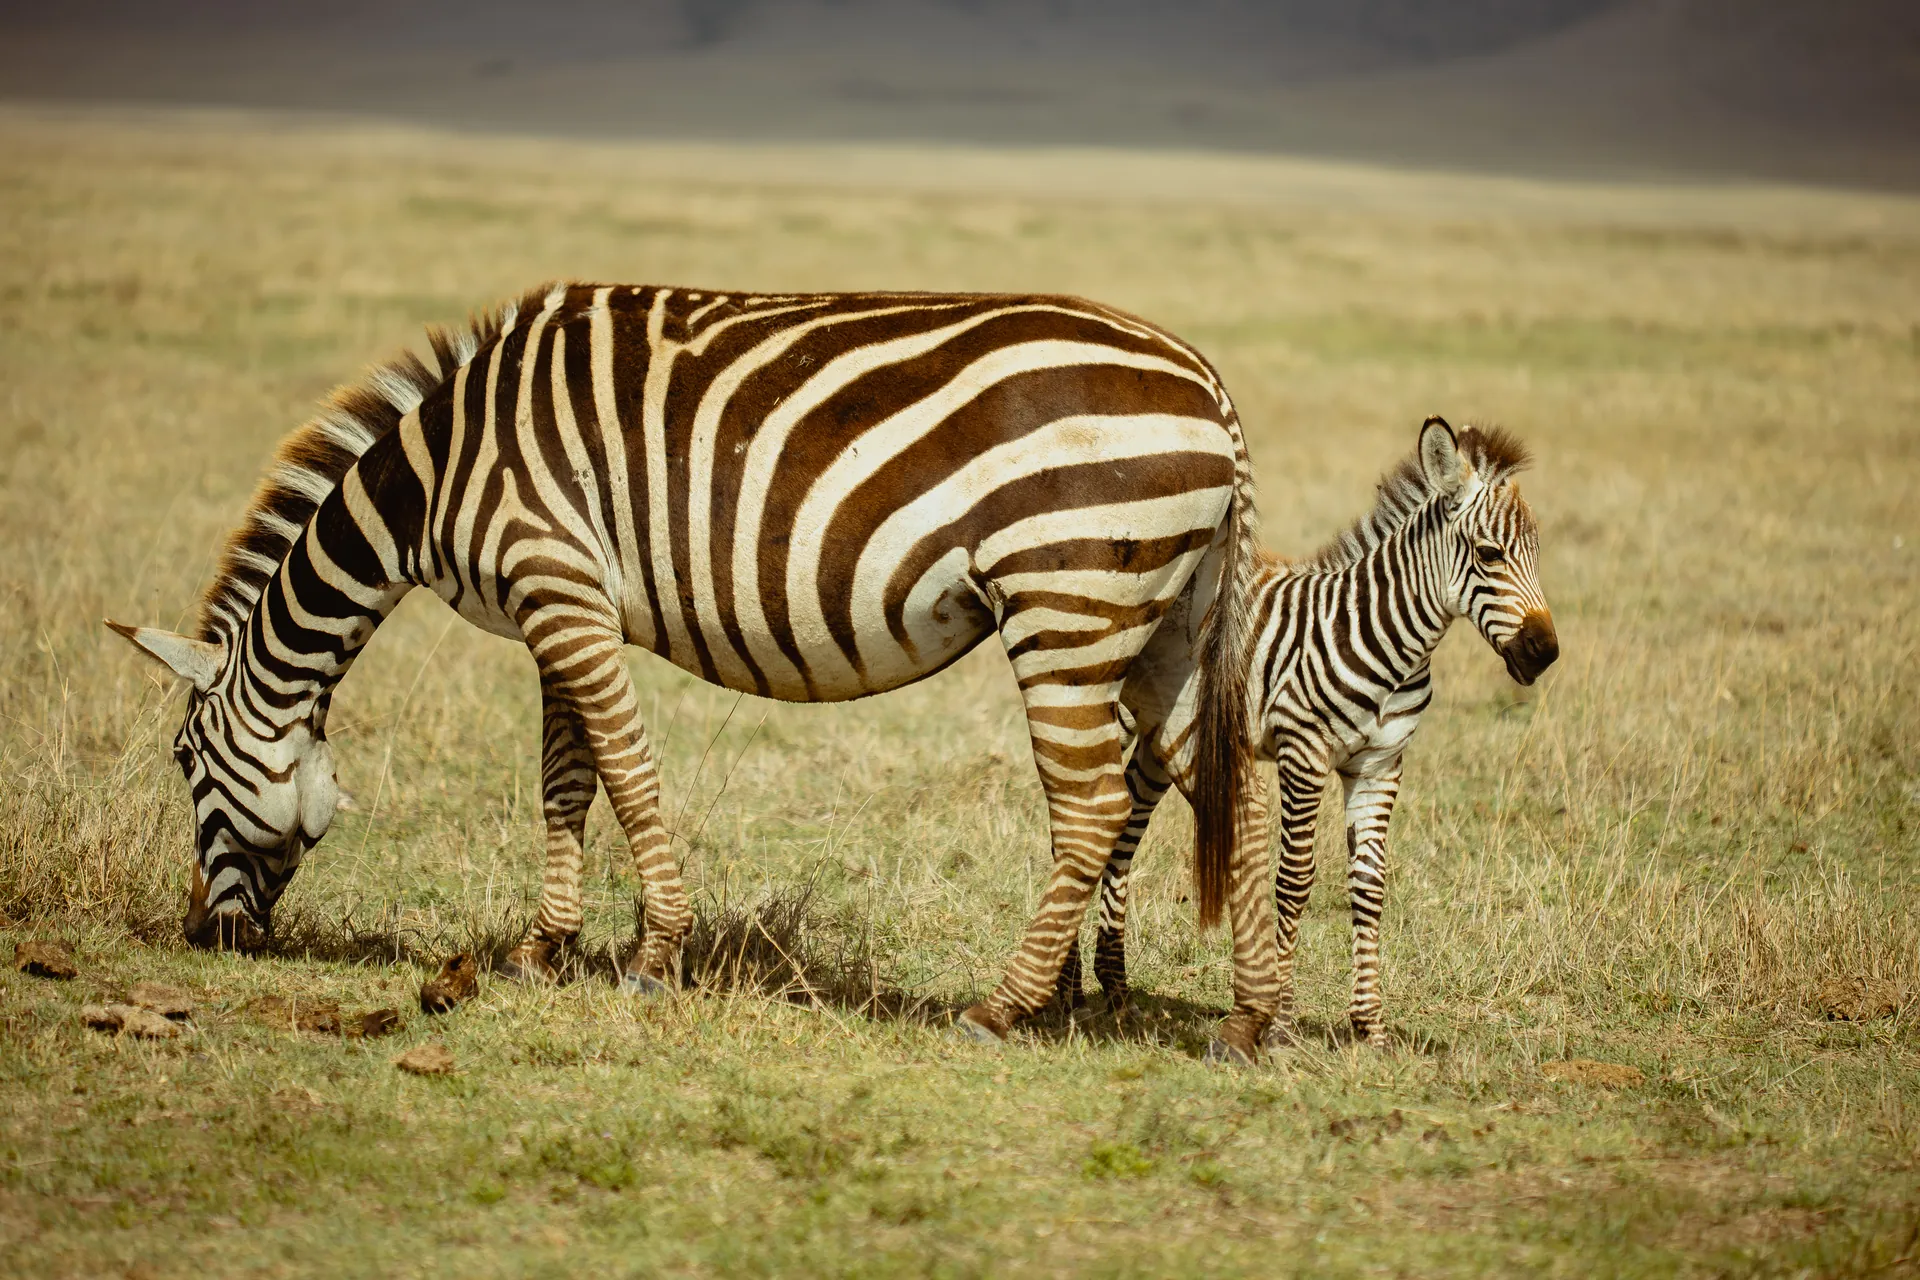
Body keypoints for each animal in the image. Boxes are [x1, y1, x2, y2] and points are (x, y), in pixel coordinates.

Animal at [107, 282, 1284, 1058]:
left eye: (182, 761)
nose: (204, 937)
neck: (437, 474)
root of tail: (1213, 386)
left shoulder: (555, 580)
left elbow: (625, 771)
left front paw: (652, 951)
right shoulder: (563, 603)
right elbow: (565, 782)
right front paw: (545, 946)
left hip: (1066, 595)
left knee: (1091, 807)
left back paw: (1002, 1006)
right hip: (1167, 621)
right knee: (1233, 784)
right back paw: (1250, 1015)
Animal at [1057, 416, 1558, 1047]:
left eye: (1539, 554)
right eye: (1490, 555)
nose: (1546, 652)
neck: (1392, 644)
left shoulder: (1380, 765)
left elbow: (1369, 885)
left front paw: (1370, 1026)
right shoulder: (1304, 753)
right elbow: (1295, 880)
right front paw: (1280, 1024)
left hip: (1160, 739)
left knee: (1122, 835)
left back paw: (1116, 989)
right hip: (1114, 716)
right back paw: (1070, 992)